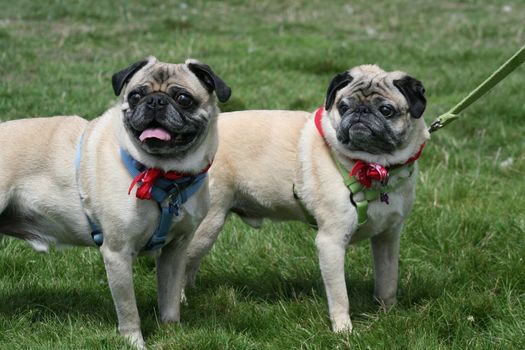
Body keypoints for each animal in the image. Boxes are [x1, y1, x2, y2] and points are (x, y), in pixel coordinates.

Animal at [0, 56, 231, 348]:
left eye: (183, 98)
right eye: (135, 95)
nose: (156, 101)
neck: (165, 176)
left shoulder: (176, 250)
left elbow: (169, 300)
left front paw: (172, 333)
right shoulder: (118, 253)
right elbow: (129, 309)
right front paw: (135, 342)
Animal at [182, 65, 428, 334]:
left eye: (386, 110)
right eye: (343, 106)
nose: (360, 112)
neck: (375, 168)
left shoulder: (388, 237)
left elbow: (388, 280)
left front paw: (389, 313)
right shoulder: (331, 242)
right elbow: (339, 295)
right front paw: (343, 330)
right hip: (207, 224)